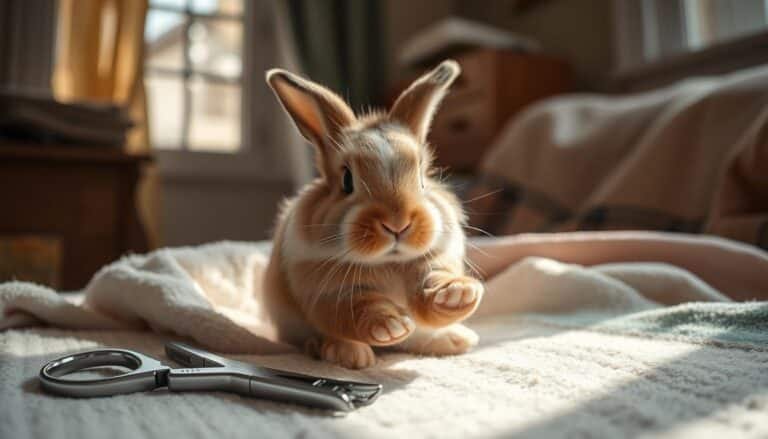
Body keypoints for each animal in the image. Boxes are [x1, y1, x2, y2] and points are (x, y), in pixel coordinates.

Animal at [263, 60, 484, 369]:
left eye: (422, 178)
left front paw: (458, 295)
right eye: (347, 180)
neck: (388, 262)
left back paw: (454, 339)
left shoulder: (433, 262)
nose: (397, 224)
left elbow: (432, 286)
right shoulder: (327, 290)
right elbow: (356, 309)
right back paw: (345, 353)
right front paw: (391, 325)